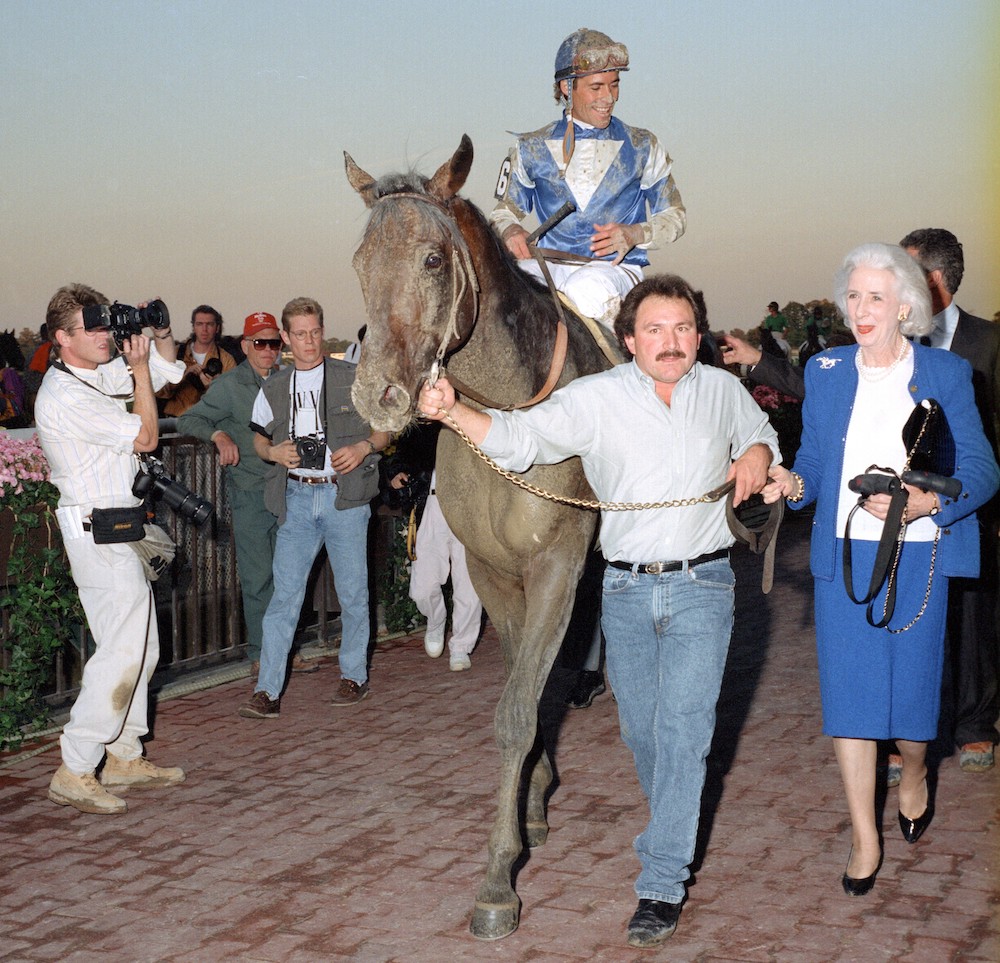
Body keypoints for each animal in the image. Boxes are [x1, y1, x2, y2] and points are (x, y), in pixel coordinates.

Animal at [348, 132, 616, 936]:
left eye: (434, 259)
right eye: (360, 261)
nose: (378, 393)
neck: (507, 415)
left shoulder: (559, 561)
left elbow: (521, 706)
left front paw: (498, 875)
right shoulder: (493, 568)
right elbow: (521, 688)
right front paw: (532, 803)